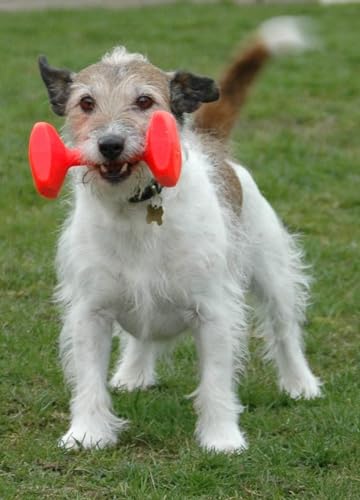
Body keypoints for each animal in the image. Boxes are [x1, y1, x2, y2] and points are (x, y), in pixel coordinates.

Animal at [38, 16, 322, 454]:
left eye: (144, 101)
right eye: (86, 103)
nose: (110, 144)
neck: (136, 210)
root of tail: (213, 144)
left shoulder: (214, 310)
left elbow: (217, 382)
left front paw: (222, 439)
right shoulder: (90, 312)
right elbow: (87, 379)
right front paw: (87, 433)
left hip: (272, 272)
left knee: (285, 330)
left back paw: (299, 383)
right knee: (141, 337)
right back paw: (132, 373)